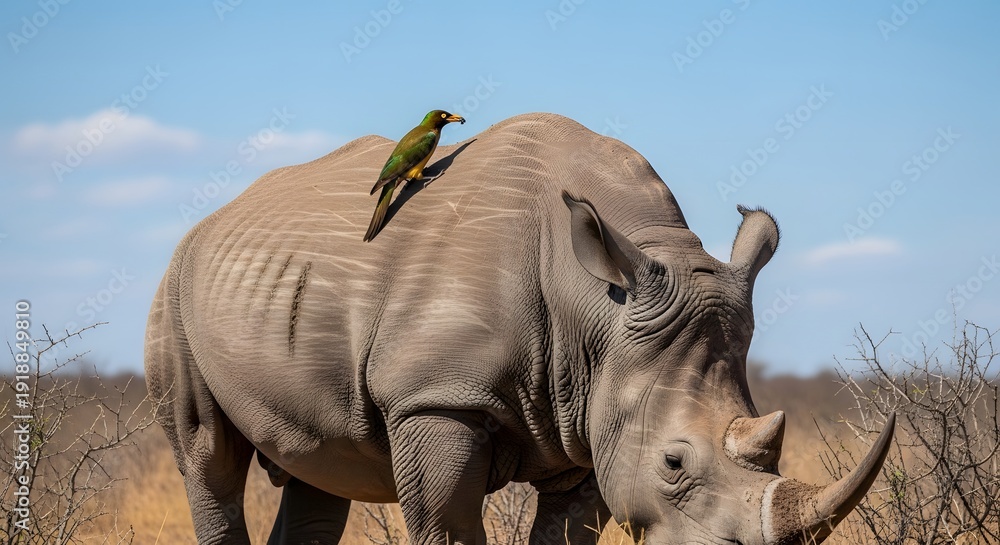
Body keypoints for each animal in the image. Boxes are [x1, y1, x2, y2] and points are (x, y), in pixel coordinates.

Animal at [145, 113, 894, 545]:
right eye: (675, 464)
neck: (597, 304)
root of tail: (213, 220)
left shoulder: (590, 416)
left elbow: (567, 530)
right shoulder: (436, 396)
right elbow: (447, 525)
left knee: (318, 470)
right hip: (173, 287)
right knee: (206, 458)